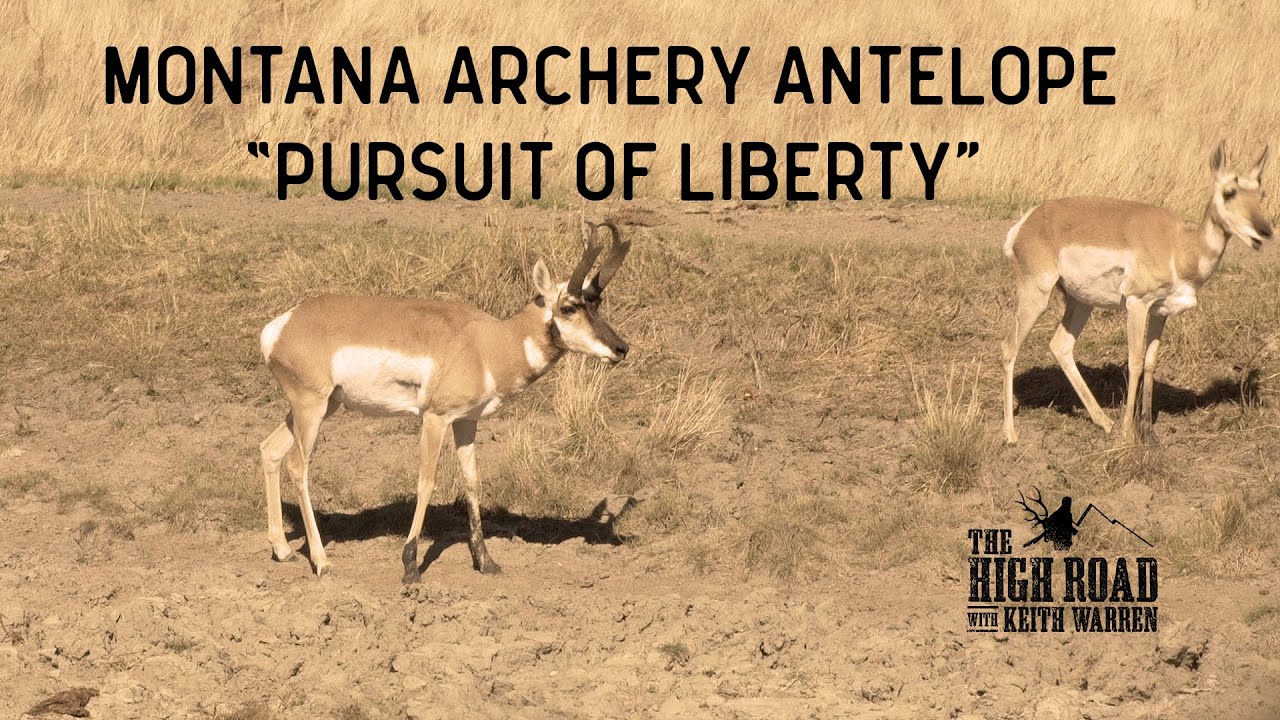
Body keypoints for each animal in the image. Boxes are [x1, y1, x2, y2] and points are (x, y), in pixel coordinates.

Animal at [258, 221, 632, 581]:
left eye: (597, 304)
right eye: (568, 307)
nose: (621, 348)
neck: (486, 343)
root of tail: (282, 325)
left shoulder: (466, 421)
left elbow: (472, 481)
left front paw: (486, 562)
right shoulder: (435, 418)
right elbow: (426, 482)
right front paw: (410, 566)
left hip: (320, 407)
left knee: (270, 449)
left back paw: (283, 550)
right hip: (312, 409)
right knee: (298, 465)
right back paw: (322, 562)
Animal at [1002, 142, 1271, 445]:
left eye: (1261, 194)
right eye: (1229, 192)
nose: (1264, 231)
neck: (1180, 245)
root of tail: (1027, 222)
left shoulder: (1160, 311)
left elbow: (1151, 362)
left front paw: (1148, 430)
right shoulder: (1137, 305)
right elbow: (1135, 362)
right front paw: (1128, 432)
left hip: (1081, 303)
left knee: (1060, 346)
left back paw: (1104, 421)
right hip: (1036, 295)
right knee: (1009, 347)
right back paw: (1010, 433)